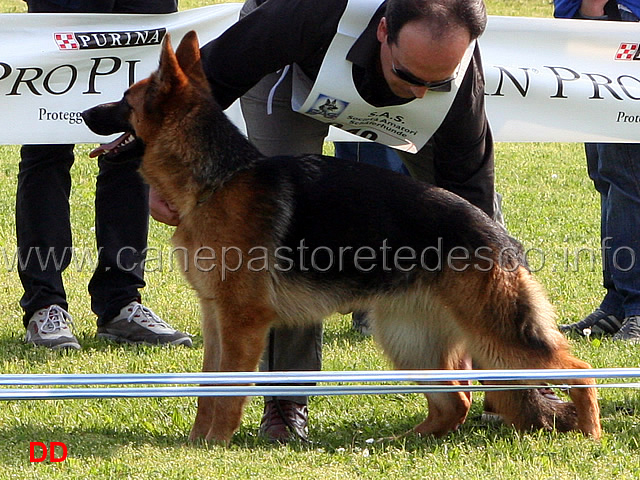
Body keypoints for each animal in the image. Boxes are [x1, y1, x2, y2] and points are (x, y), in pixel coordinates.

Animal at [81, 31, 600, 444]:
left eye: (125, 101)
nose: (85, 113)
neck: (218, 177)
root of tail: (501, 238)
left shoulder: (242, 323)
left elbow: (228, 393)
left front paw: (214, 446)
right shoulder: (216, 320)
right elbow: (209, 390)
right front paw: (197, 443)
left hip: (497, 335)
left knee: (579, 370)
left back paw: (591, 435)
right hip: (409, 341)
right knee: (456, 402)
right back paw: (399, 442)